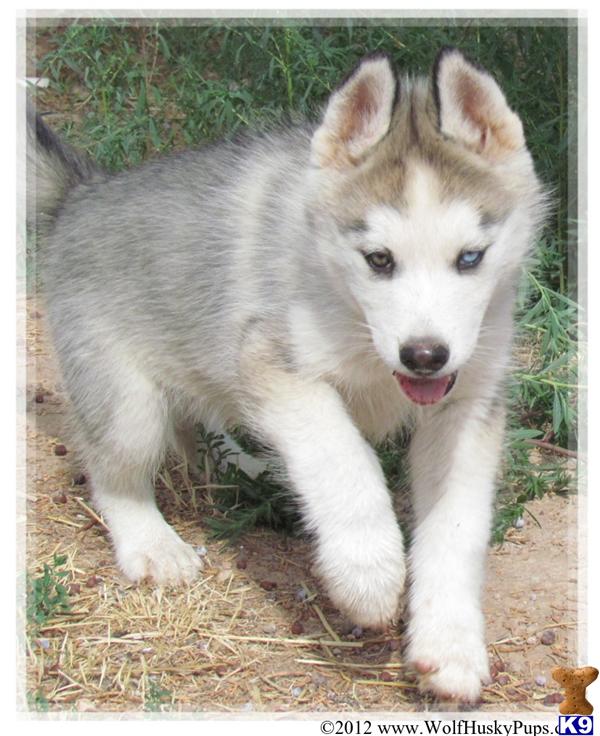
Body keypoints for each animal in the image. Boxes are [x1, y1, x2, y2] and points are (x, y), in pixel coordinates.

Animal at [28, 47, 546, 702]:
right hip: (127, 405)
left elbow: (457, 527)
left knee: (199, 424)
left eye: (470, 258)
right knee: (114, 470)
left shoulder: (467, 403)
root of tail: (80, 194)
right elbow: (342, 460)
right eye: (379, 260)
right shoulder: (275, 366)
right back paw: (152, 544)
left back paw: (246, 463)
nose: (424, 355)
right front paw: (366, 570)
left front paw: (450, 645)